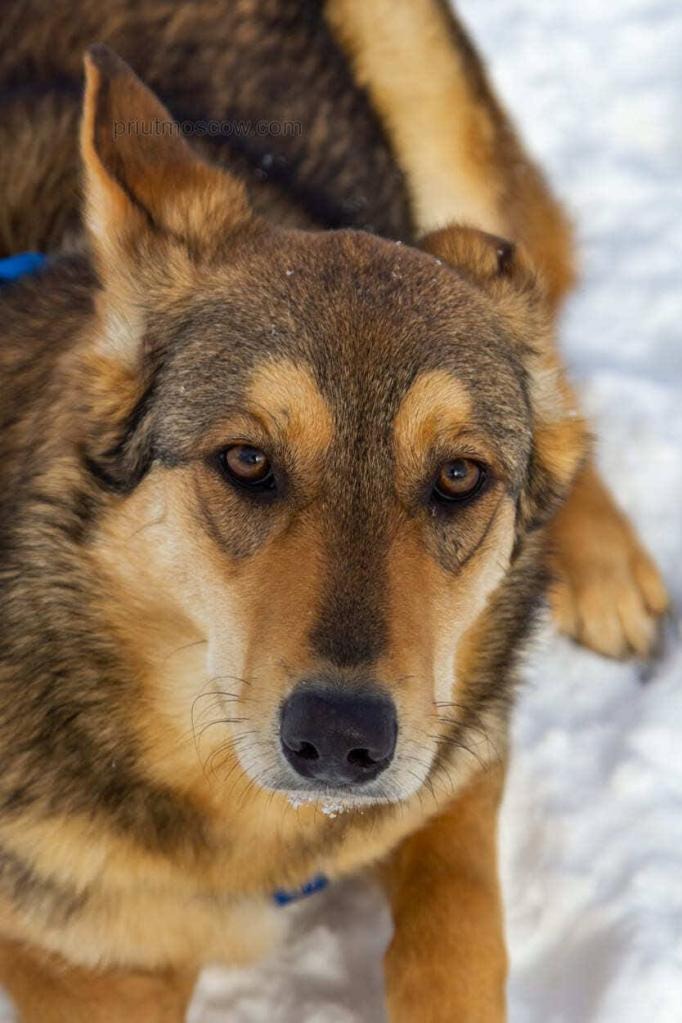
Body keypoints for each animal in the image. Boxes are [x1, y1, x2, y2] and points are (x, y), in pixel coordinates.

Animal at [0, 1, 670, 1023]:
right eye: (246, 461)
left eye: (460, 476)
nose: (343, 739)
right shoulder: (78, 959)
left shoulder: (458, 763)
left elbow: (456, 934)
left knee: (547, 347)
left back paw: (604, 567)